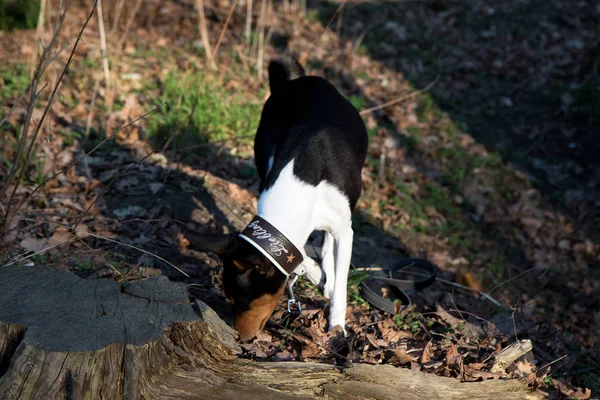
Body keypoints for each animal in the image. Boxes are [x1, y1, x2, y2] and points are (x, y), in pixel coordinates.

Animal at [195, 56, 368, 340]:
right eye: (229, 299)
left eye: (241, 302)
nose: (240, 338)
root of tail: (300, 80)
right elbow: (300, 255)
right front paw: (314, 271)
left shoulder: (346, 232)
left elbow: (341, 288)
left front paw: (337, 325)